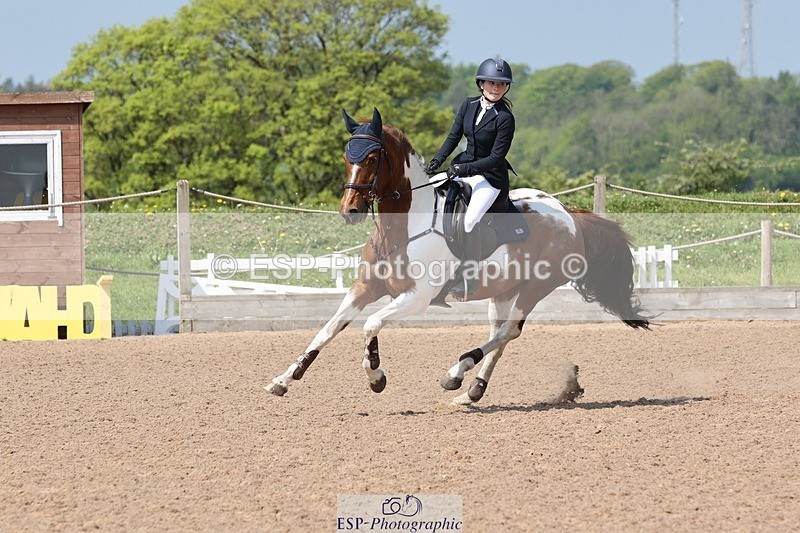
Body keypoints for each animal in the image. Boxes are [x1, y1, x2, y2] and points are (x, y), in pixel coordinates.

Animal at [265, 107, 650, 405]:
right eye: (348, 158)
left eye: (372, 159)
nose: (350, 211)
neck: (403, 228)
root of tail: (568, 214)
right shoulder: (365, 288)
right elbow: (328, 328)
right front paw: (284, 379)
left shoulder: (417, 297)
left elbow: (370, 324)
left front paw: (376, 377)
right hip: (504, 290)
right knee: (500, 333)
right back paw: (472, 390)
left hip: (536, 288)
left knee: (509, 331)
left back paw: (456, 372)